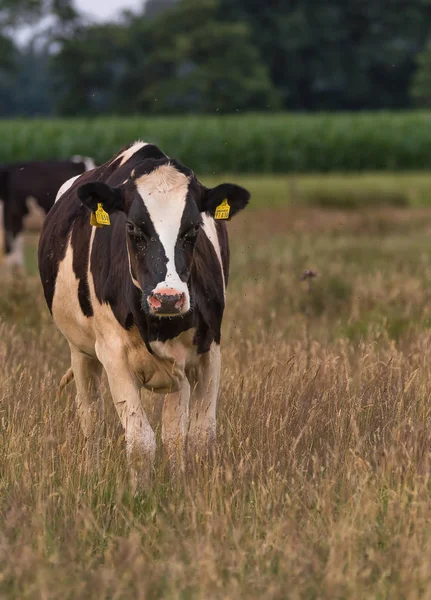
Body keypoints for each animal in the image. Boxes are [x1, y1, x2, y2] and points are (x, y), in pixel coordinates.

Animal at [39, 142, 253, 488]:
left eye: (194, 228)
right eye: (133, 228)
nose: (167, 298)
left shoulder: (209, 351)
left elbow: (196, 435)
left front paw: (186, 487)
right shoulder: (112, 354)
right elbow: (140, 442)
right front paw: (140, 493)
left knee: (173, 430)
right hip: (80, 353)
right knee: (90, 420)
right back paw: (92, 473)